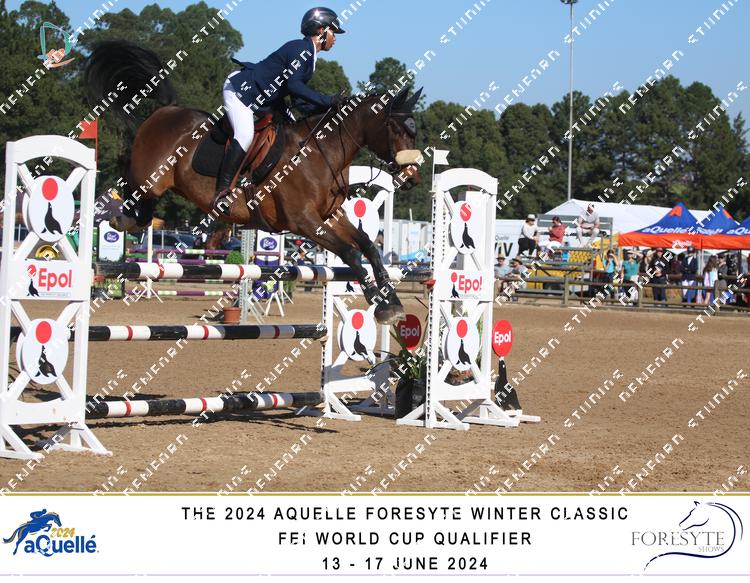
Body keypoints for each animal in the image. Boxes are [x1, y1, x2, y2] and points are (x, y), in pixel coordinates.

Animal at [83, 40, 423, 325]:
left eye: (414, 130)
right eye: (395, 128)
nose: (412, 177)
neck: (320, 153)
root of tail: (166, 109)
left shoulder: (330, 217)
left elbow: (368, 246)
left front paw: (391, 301)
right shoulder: (304, 222)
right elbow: (351, 254)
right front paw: (380, 303)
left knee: (143, 205)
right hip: (149, 178)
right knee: (132, 185)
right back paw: (119, 216)